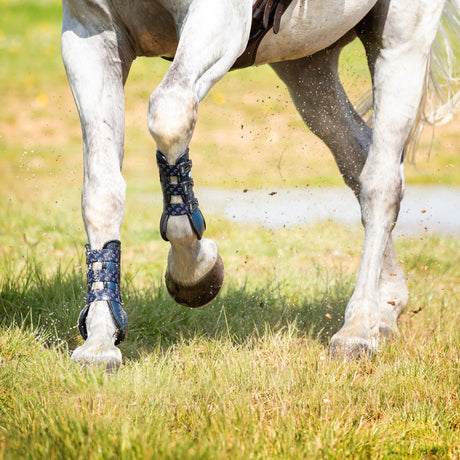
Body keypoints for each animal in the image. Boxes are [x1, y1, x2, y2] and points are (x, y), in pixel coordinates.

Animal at [62, 0, 460, 366]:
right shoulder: (90, 32)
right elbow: (101, 190)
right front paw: (100, 338)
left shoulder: (218, 16)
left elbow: (169, 113)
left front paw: (196, 270)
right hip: (308, 61)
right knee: (357, 157)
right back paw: (386, 308)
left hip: (400, 40)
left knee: (382, 183)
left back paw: (357, 330)